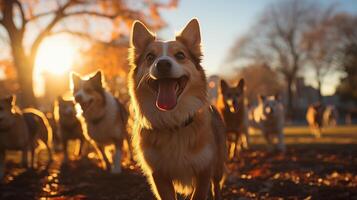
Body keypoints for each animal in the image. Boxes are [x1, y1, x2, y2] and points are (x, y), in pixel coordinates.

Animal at [126, 19, 224, 200]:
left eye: (180, 55)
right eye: (150, 57)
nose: (163, 64)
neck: (173, 121)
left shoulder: (204, 170)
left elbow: (200, 193)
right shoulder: (159, 174)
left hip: (218, 166)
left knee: (217, 185)